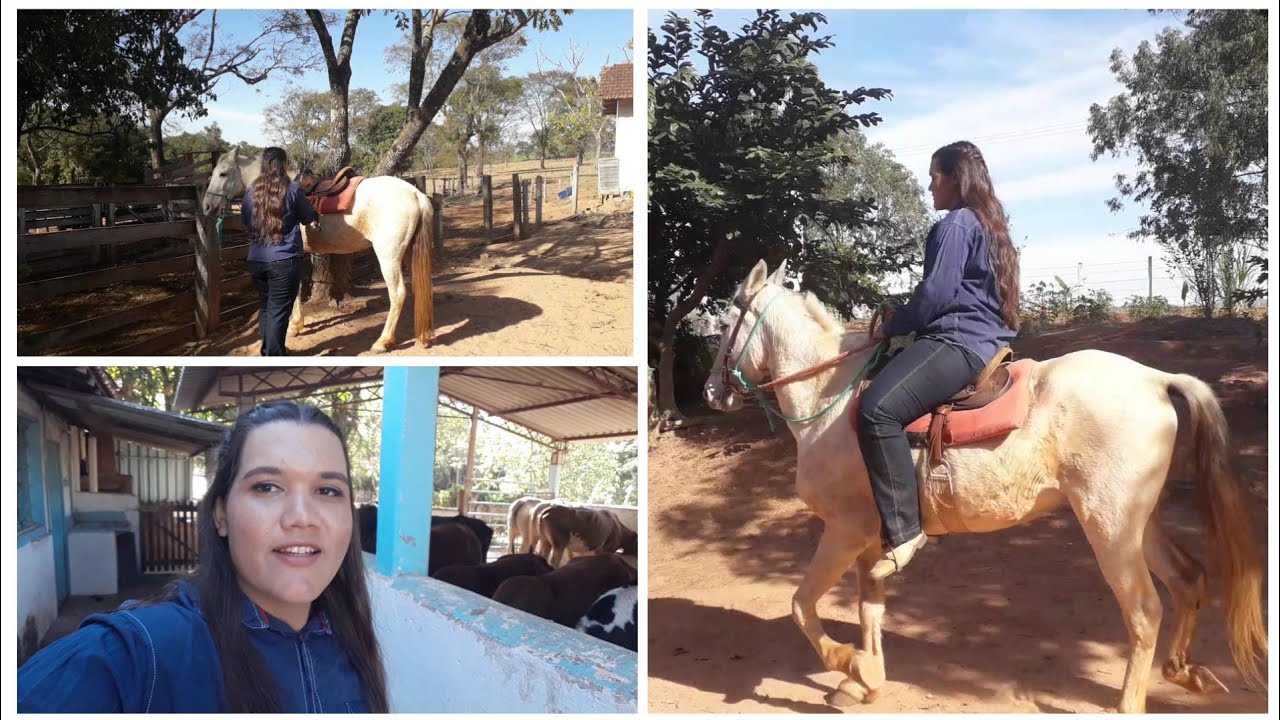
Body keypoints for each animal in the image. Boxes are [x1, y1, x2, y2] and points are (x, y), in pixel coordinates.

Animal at [201, 147, 434, 353]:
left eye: (223, 173)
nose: (207, 207)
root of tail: (415, 193)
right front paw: (297, 325)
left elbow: (294, 291)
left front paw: (294, 327)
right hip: (408, 252)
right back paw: (423, 336)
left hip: (388, 256)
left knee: (398, 294)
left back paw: (383, 342)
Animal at [701, 259, 1266, 713]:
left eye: (724, 325)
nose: (710, 391)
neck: (831, 400)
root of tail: (1155, 380)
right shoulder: (871, 541)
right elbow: (869, 608)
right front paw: (867, 679)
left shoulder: (843, 531)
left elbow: (801, 604)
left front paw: (851, 666)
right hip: (1136, 523)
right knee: (1189, 579)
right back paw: (1185, 673)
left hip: (1109, 527)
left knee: (1145, 610)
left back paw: (1131, 702)